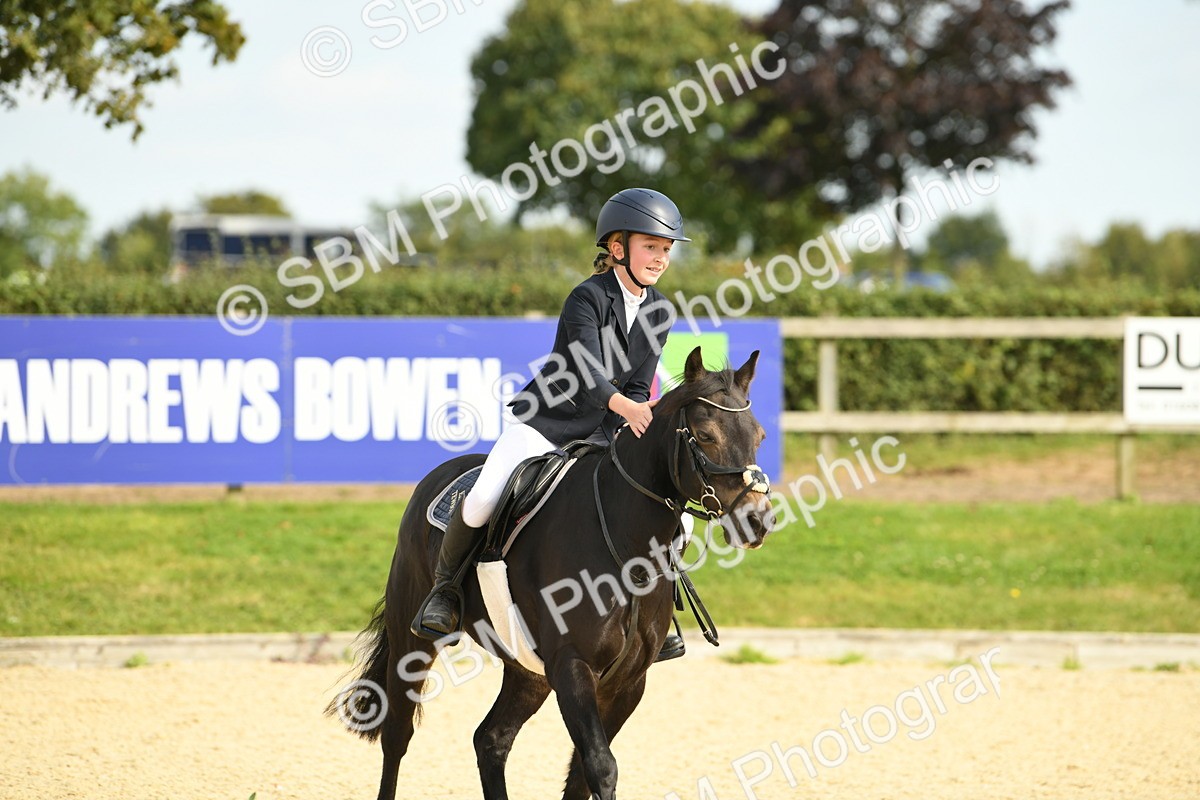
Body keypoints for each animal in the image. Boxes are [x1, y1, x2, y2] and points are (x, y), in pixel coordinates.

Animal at [332, 346, 775, 800]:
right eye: (705, 435)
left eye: (759, 437)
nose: (757, 521)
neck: (624, 541)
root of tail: (438, 475)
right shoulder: (572, 666)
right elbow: (601, 768)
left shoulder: (627, 682)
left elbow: (581, 776)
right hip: (413, 637)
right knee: (397, 734)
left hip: (527, 669)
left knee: (491, 739)